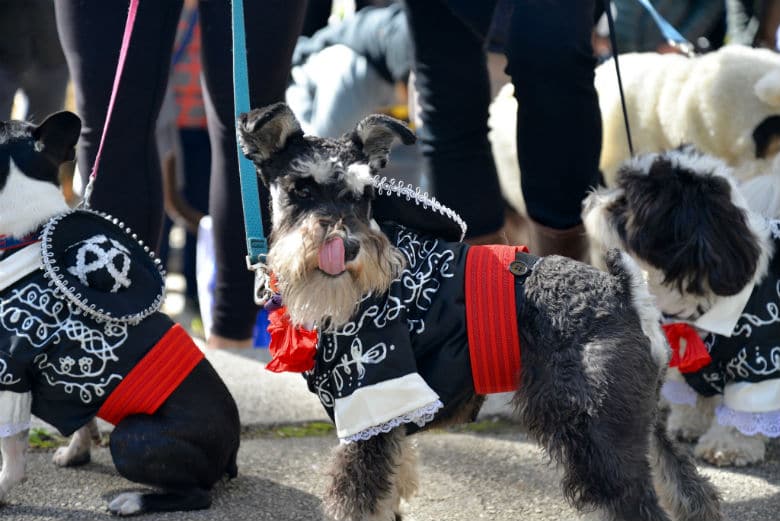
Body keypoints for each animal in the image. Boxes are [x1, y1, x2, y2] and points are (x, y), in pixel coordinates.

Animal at [584, 144, 780, 466]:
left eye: (624, 203)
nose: (591, 199)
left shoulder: (758, 366)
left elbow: (743, 415)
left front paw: (728, 445)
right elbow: (693, 396)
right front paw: (689, 424)